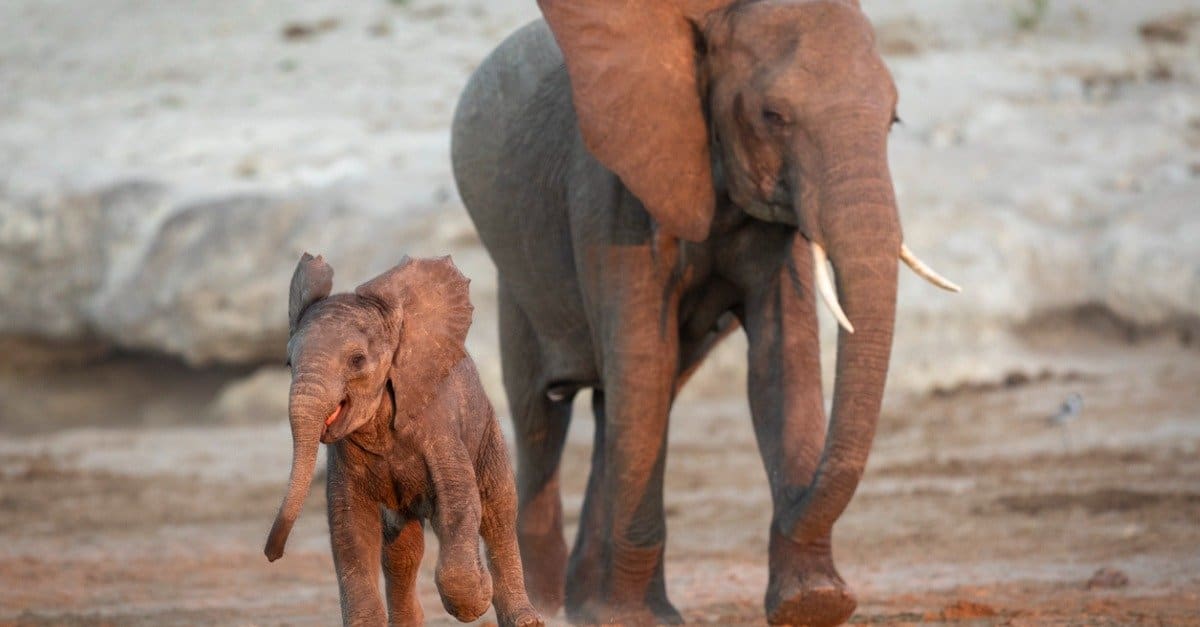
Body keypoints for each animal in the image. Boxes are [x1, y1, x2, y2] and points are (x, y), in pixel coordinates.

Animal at [262, 253, 543, 627]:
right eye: (289, 363)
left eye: (357, 360)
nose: (272, 555)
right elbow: (350, 526)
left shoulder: (439, 426)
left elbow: (460, 500)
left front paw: (478, 596)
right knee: (402, 549)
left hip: (486, 432)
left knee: (498, 514)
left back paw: (526, 619)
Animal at [450, 0, 959, 625]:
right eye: (773, 116)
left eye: (892, 120)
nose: (792, 504)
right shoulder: (613, 188)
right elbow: (645, 359)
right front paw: (638, 621)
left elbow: (781, 360)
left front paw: (813, 602)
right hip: (517, 274)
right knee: (543, 413)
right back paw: (549, 606)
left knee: (624, 403)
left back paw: (588, 605)